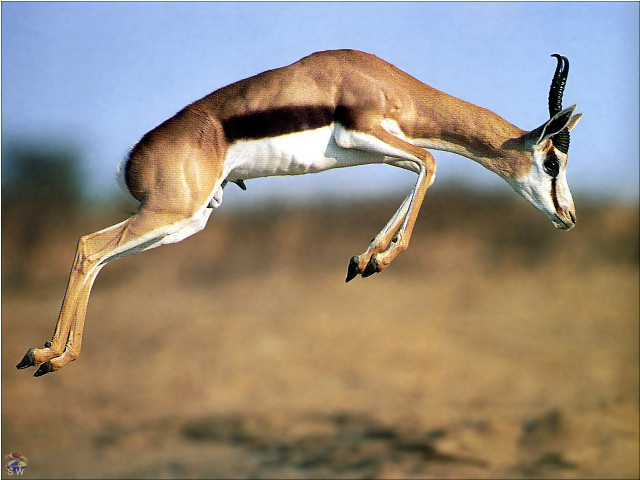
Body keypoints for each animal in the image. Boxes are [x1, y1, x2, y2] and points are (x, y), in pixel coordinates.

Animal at [17, 50, 581, 377]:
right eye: (552, 160)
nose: (569, 218)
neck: (384, 82)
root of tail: (132, 159)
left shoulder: (378, 150)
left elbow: (420, 168)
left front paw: (363, 260)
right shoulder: (366, 135)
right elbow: (432, 162)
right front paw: (379, 259)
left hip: (186, 221)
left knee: (100, 258)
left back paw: (52, 355)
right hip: (172, 212)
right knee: (90, 247)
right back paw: (45, 355)